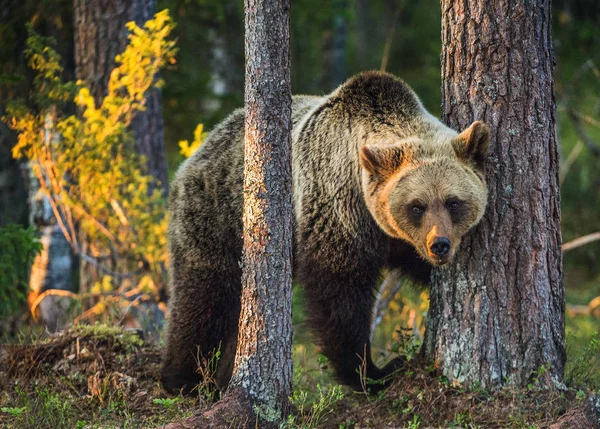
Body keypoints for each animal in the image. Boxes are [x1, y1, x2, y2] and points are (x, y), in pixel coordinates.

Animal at [159, 72, 488, 392]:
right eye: (417, 206)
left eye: (453, 202)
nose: (439, 245)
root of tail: (199, 151)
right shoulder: (336, 209)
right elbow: (339, 295)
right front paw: (374, 372)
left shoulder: (399, 241)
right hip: (218, 217)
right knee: (205, 294)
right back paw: (185, 379)